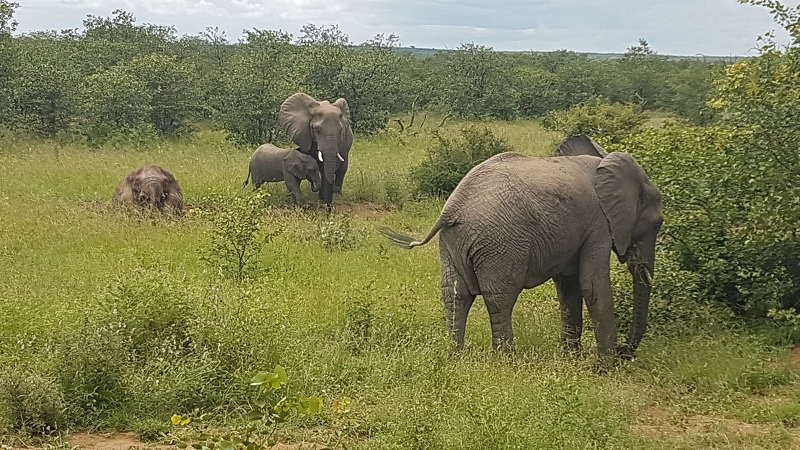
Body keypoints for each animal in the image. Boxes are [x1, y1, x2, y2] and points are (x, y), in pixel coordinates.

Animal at [380, 134, 664, 362]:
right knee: (501, 298)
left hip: (453, 243)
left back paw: (455, 354)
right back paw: (505, 360)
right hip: (500, 244)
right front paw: (606, 366)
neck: (605, 161)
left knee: (455, 294)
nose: (625, 350)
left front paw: (572, 358)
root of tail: (452, 209)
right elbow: (592, 284)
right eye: (656, 224)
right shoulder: (599, 224)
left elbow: (569, 287)